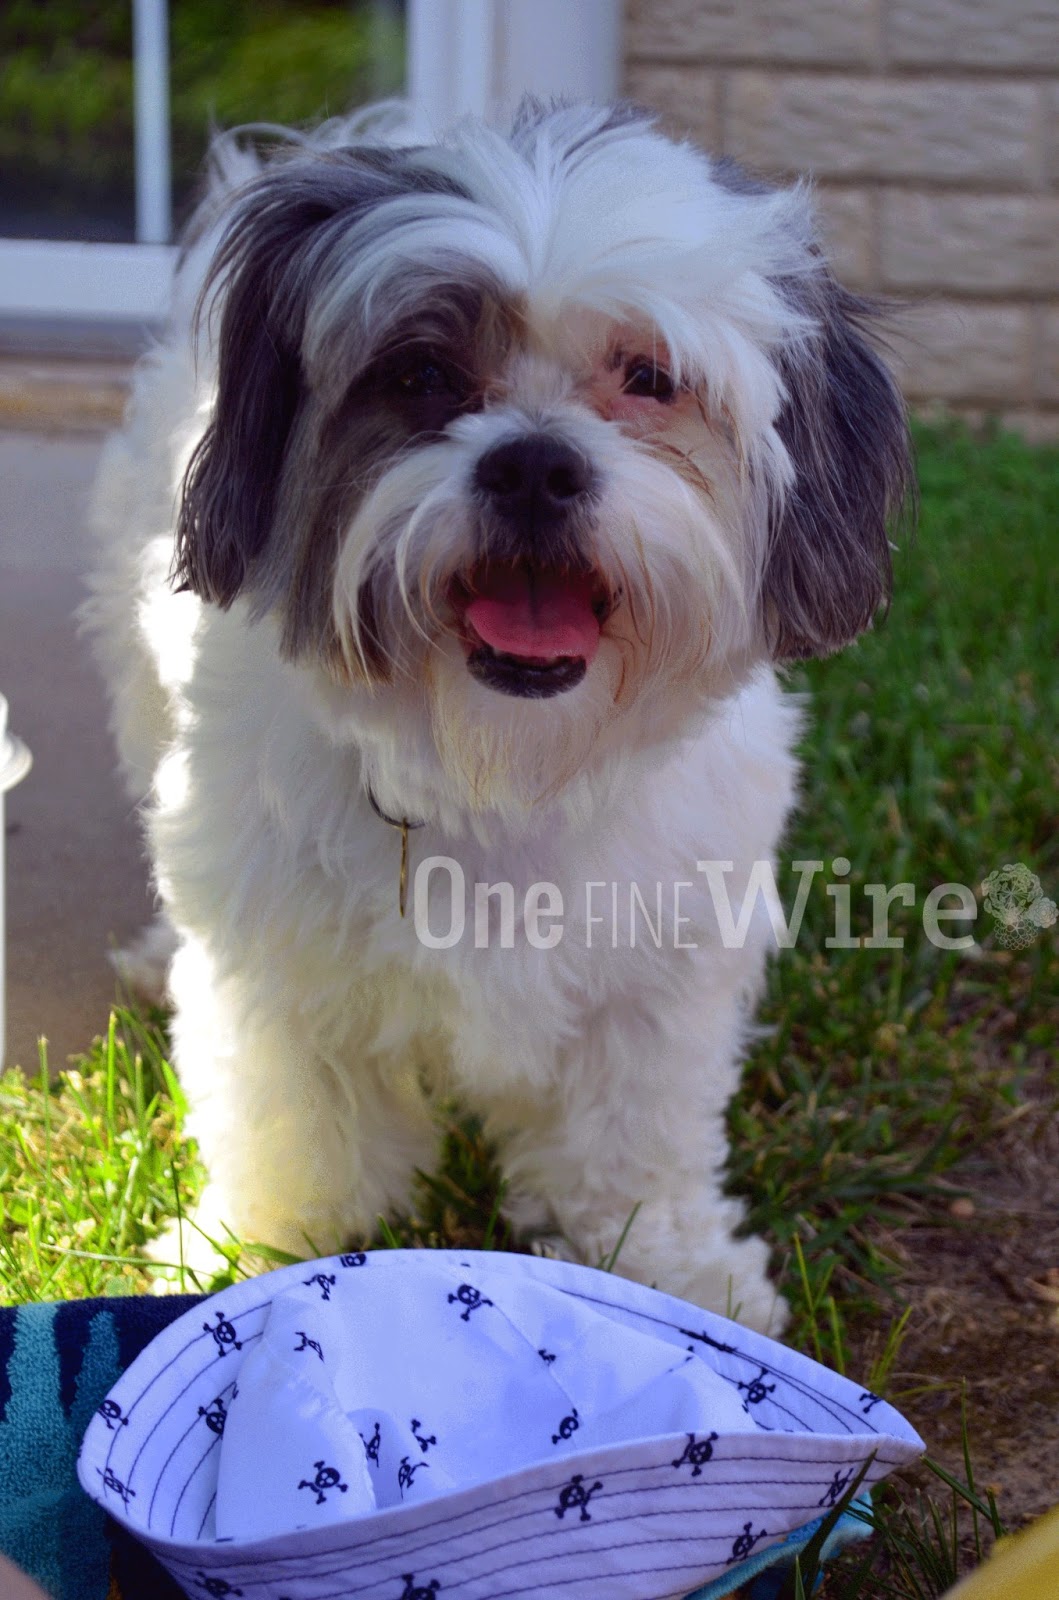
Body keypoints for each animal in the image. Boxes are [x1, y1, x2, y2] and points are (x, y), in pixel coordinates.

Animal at [83, 101, 910, 1332]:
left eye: (649, 376)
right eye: (422, 373)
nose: (532, 463)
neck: (498, 768)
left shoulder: (662, 964)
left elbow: (634, 1132)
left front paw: (671, 1265)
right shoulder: (276, 962)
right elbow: (301, 1118)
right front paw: (256, 1251)